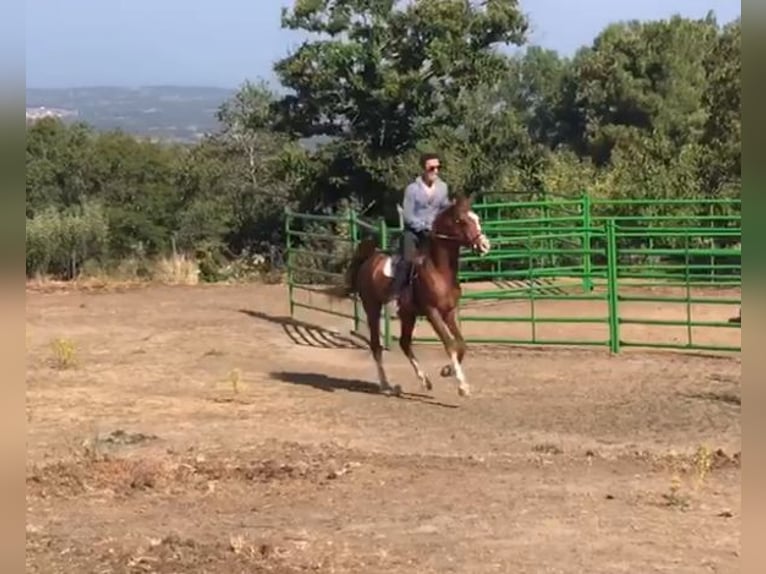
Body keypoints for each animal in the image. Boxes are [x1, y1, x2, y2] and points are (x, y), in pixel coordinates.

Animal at [338, 196, 492, 398]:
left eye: (476, 218)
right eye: (461, 220)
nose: (485, 245)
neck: (438, 271)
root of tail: (370, 260)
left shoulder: (449, 312)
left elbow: (461, 344)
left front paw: (447, 370)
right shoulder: (432, 312)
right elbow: (449, 343)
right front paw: (462, 386)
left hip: (407, 315)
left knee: (404, 343)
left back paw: (424, 380)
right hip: (373, 309)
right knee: (376, 346)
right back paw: (386, 385)